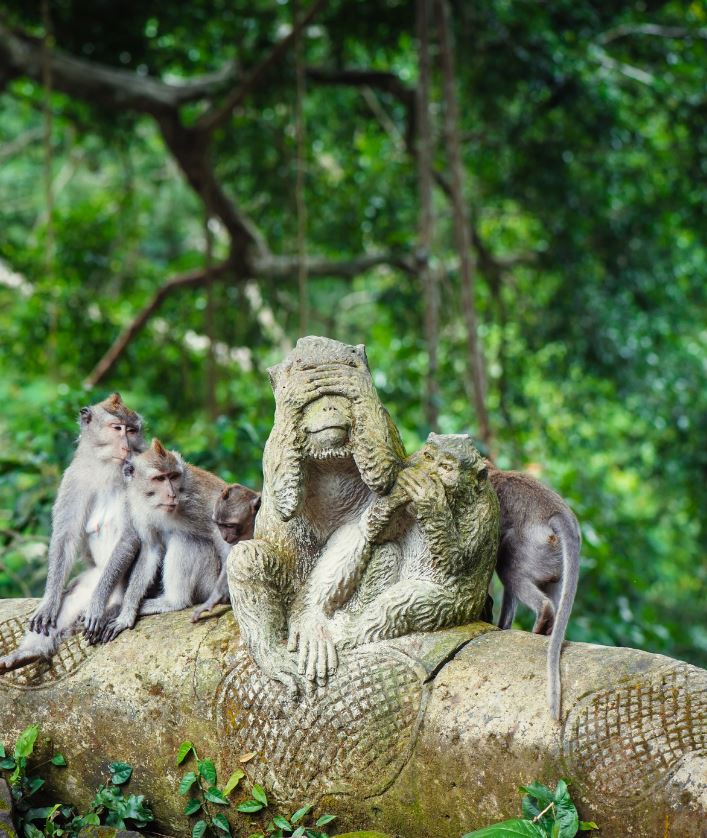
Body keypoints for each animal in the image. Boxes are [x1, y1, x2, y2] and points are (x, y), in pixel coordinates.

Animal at [0, 394, 145, 676]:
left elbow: (130, 538)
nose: (126, 447)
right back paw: (28, 653)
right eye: (117, 428)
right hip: (89, 579)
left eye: (132, 431)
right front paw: (48, 602)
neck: (107, 469)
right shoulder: (74, 478)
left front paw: (98, 606)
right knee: (69, 602)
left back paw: (110, 608)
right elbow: (65, 538)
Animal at [82, 440, 232, 644]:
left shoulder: (199, 499)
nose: (172, 494)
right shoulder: (136, 507)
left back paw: (174, 602)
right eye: (160, 478)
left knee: (185, 539)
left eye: (173, 476)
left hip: (210, 581)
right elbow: (150, 550)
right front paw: (125, 615)